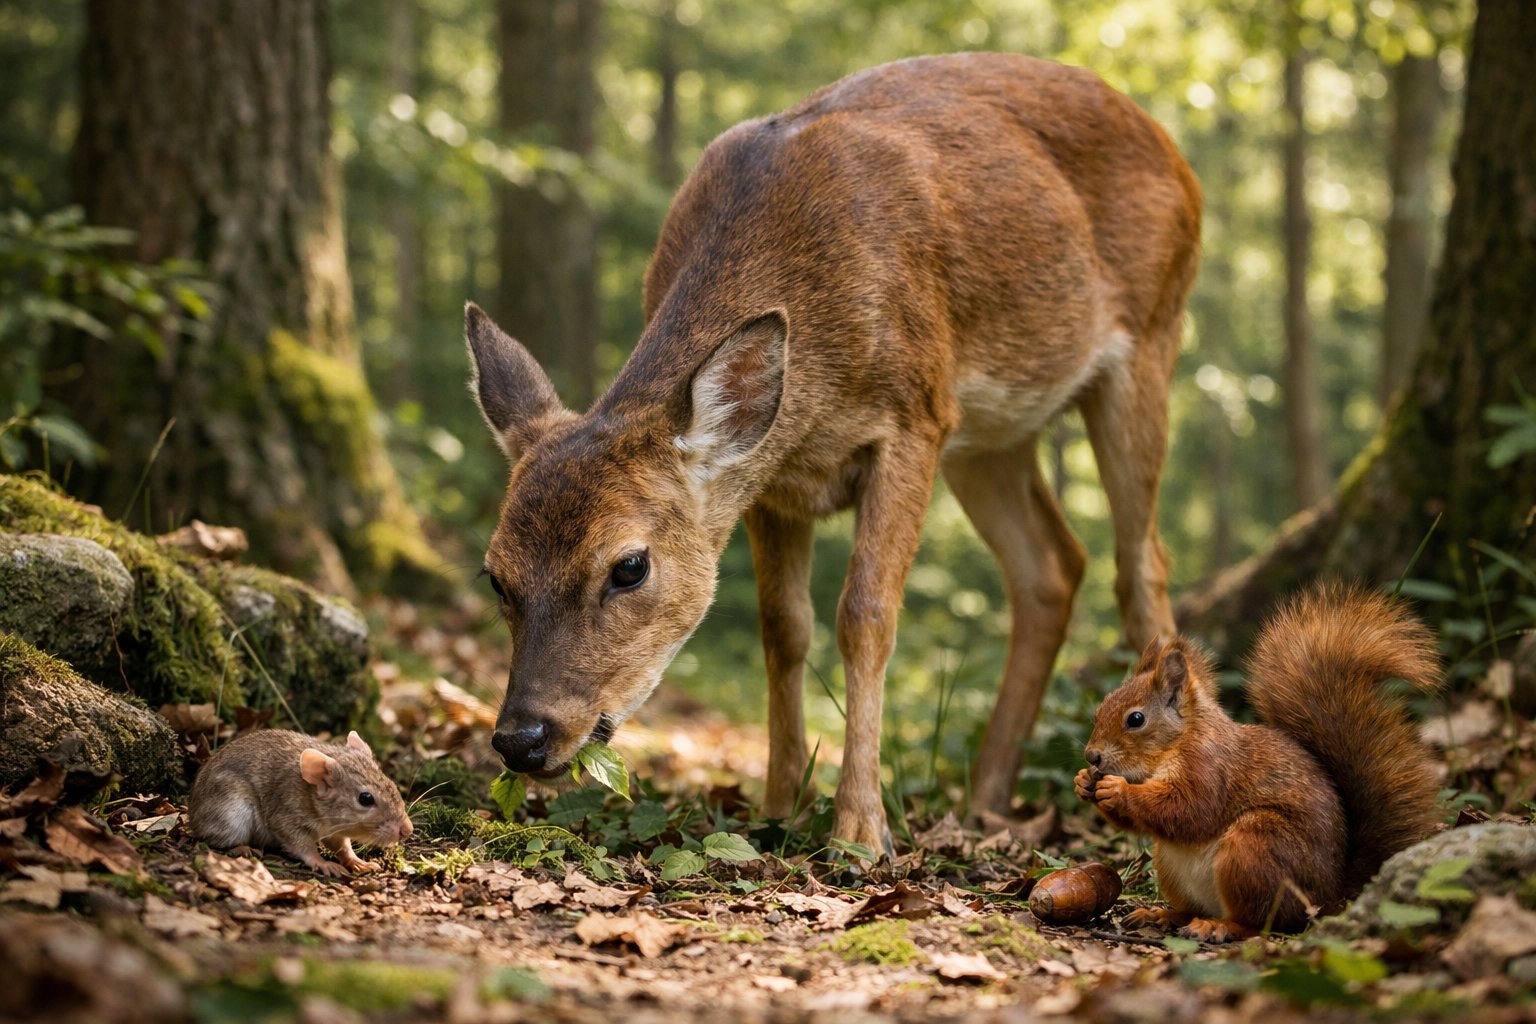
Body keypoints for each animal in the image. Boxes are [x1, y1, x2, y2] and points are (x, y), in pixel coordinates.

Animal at [466, 52, 1201, 856]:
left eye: (629, 566)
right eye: (496, 575)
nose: (523, 738)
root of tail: (1173, 150)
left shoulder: (915, 416)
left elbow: (866, 616)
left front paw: (859, 829)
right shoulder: (767, 476)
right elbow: (784, 628)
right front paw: (780, 803)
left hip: (1148, 339)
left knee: (1141, 563)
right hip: (989, 436)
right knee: (1052, 564)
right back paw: (985, 800)